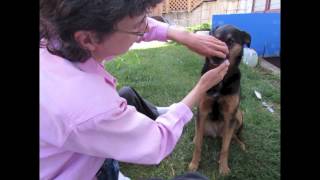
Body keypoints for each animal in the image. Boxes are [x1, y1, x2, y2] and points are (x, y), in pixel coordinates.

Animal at [188, 24, 252, 175]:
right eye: (214, 39)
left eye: (230, 41)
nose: (214, 56)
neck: (221, 80)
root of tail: (216, 134)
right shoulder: (202, 110)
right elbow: (198, 145)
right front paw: (194, 164)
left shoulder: (230, 114)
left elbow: (225, 148)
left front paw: (223, 167)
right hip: (199, 117)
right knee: (199, 133)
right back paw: (195, 138)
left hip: (238, 115)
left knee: (232, 136)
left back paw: (240, 144)